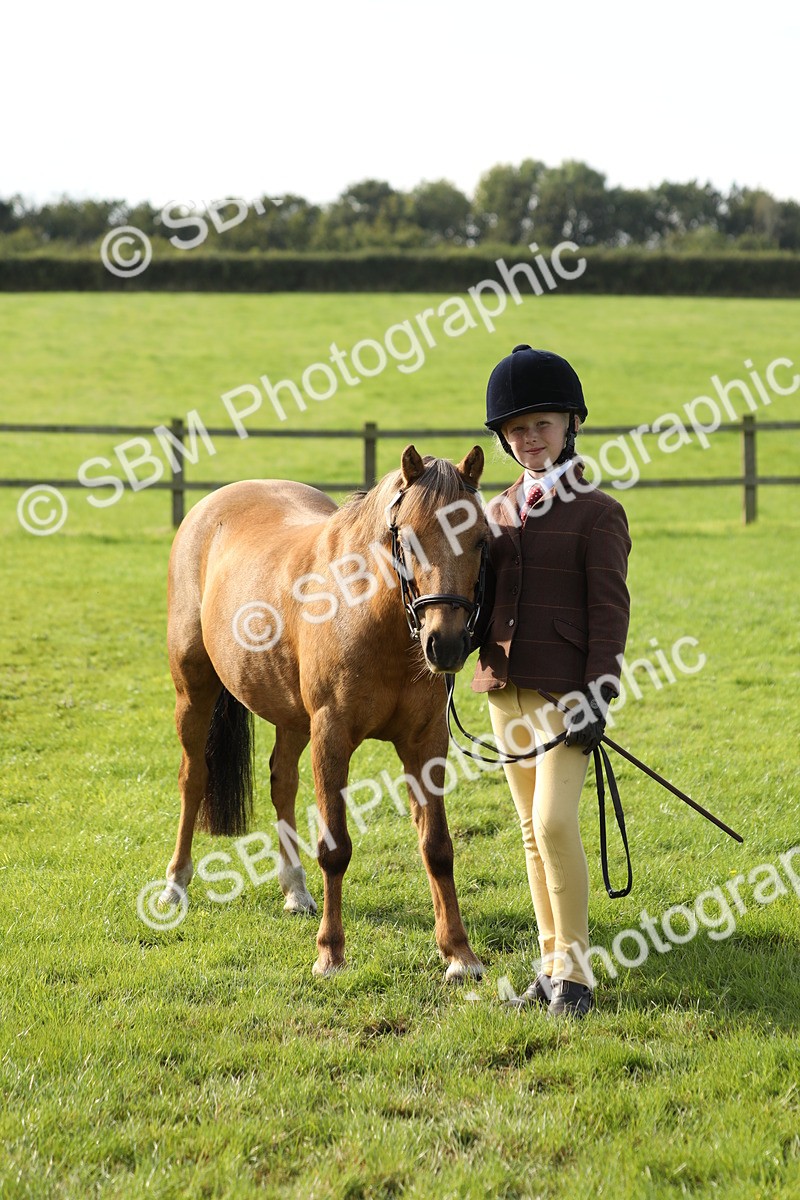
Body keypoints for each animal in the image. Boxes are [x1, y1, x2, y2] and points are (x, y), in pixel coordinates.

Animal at [159, 443, 489, 980]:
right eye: (408, 539)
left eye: (480, 539)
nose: (447, 643)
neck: (370, 614)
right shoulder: (332, 736)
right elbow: (335, 849)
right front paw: (330, 953)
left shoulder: (425, 744)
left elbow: (437, 847)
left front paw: (459, 954)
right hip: (193, 690)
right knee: (194, 779)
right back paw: (175, 884)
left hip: (292, 716)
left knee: (282, 782)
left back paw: (294, 889)